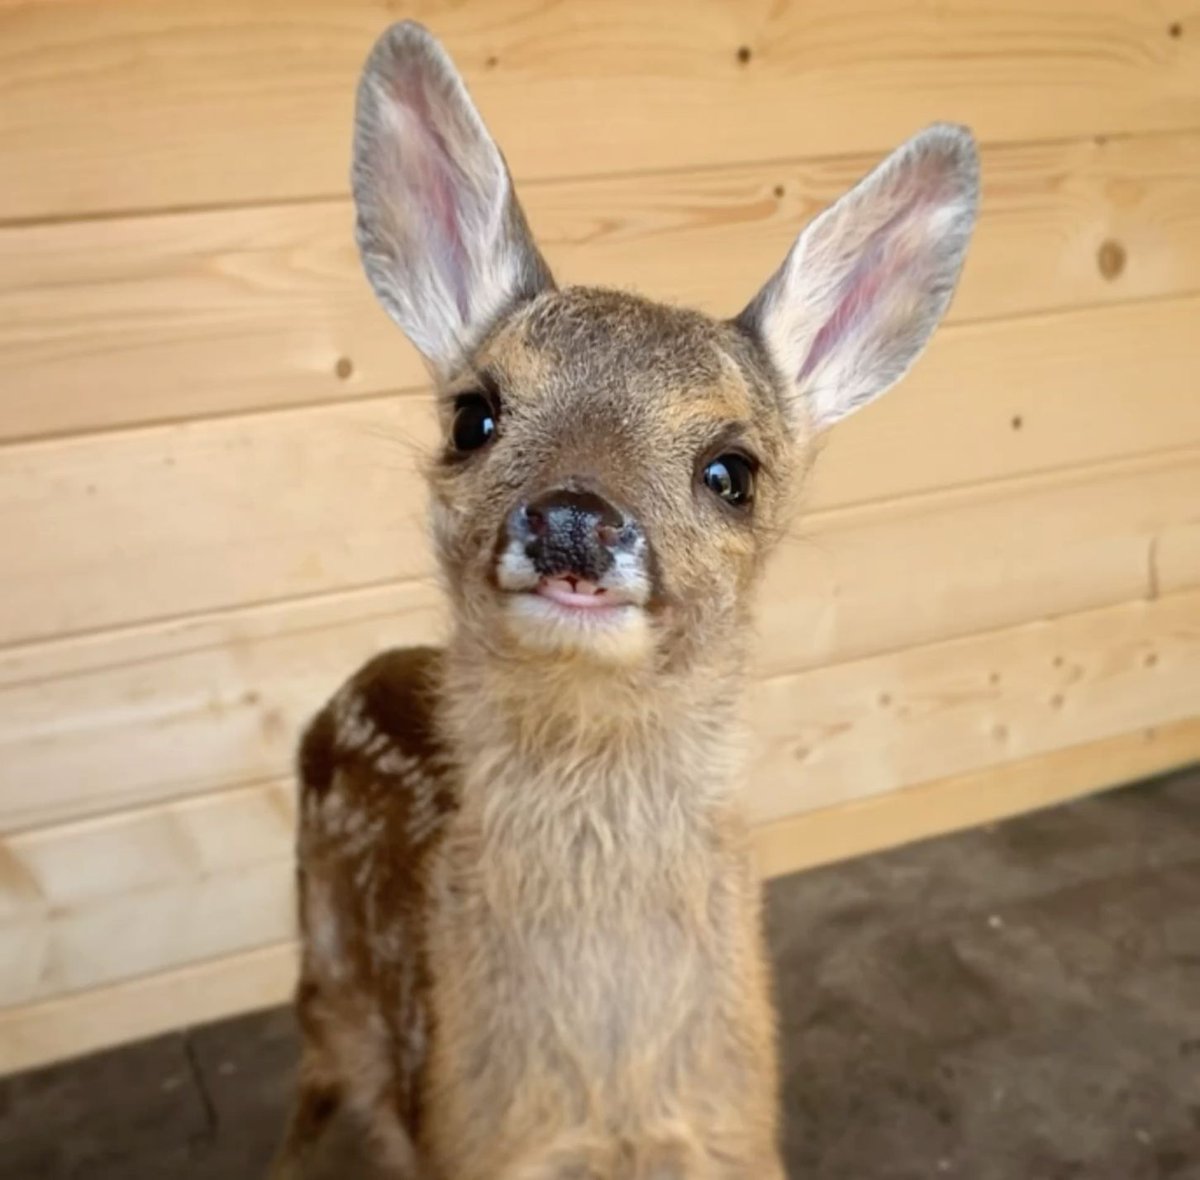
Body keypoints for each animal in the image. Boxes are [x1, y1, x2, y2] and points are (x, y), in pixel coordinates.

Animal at [271, 20, 978, 1180]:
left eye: (731, 469)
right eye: (473, 415)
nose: (573, 518)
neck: (611, 1100)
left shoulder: (735, 1140)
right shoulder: (471, 1142)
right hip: (327, 973)